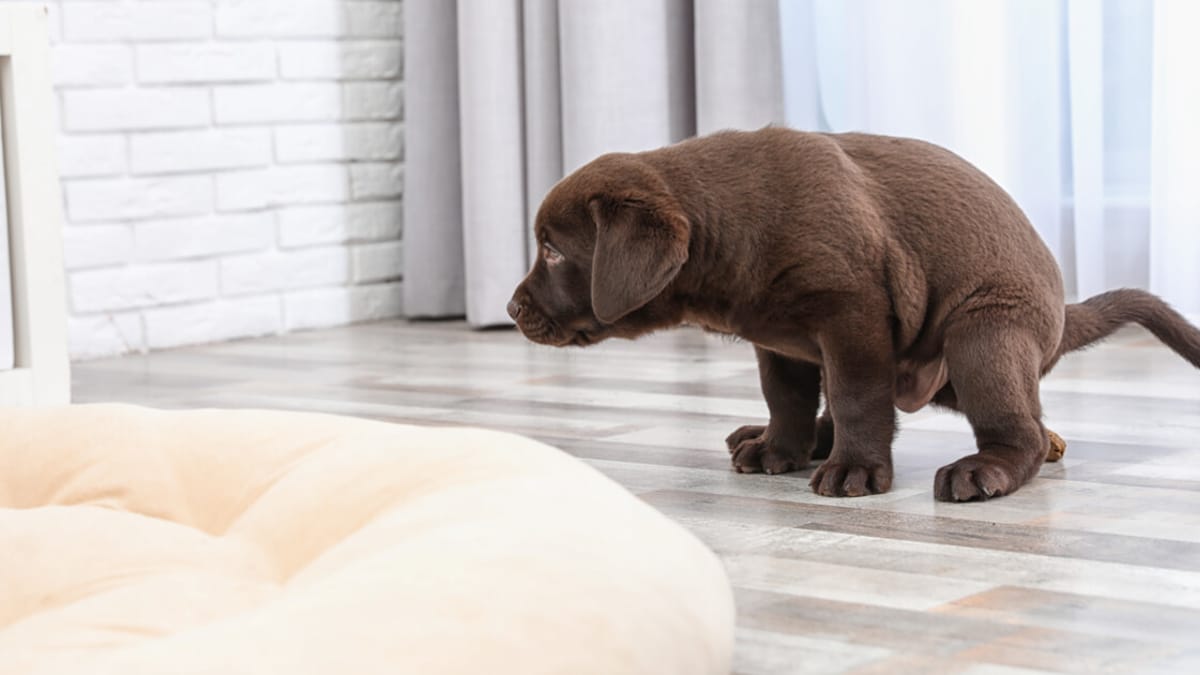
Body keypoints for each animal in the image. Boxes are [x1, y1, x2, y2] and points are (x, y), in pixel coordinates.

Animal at [506, 128, 1200, 502]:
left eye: (553, 249)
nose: (512, 308)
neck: (730, 221)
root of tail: (1057, 321)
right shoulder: (779, 343)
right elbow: (787, 398)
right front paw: (780, 447)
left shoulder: (853, 315)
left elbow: (858, 397)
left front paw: (856, 470)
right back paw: (786, 436)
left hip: (984, 332)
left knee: (1023, 431)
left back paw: (983, 470)